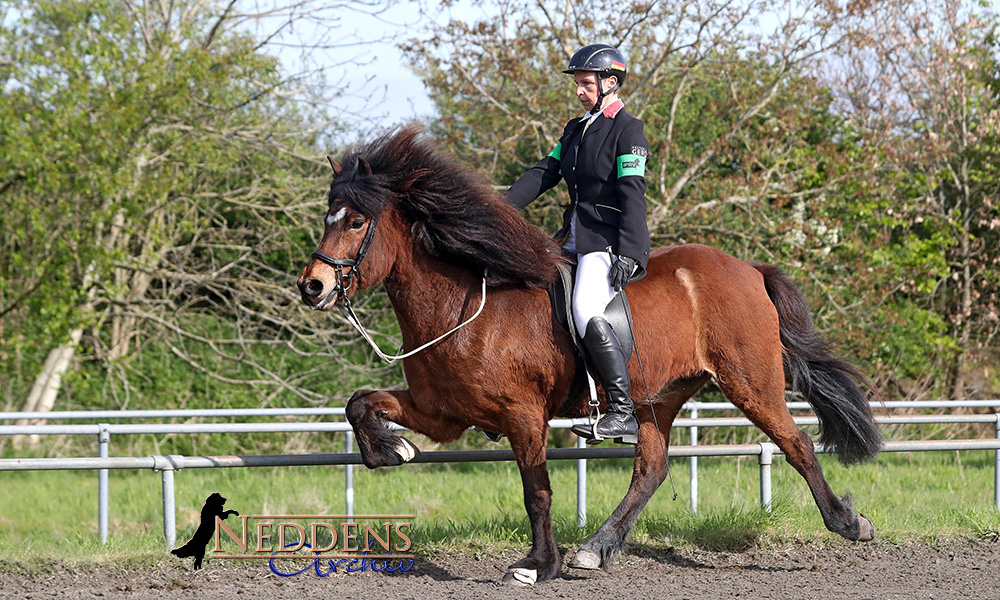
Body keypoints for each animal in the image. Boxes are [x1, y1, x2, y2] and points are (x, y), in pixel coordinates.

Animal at [296, 124, 884, 584]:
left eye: (355, 221)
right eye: (328, 216)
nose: (312, 286)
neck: (460, 310)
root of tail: (748, 269)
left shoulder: (522, 415)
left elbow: (536, 490)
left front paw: (536, 565)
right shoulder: (442, 414)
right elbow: (359, 403)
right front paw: (392, 450)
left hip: (751, 383)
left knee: (796, 445)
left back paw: (850, 523)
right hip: (657, 398)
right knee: (651, 469)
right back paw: (595, 550)